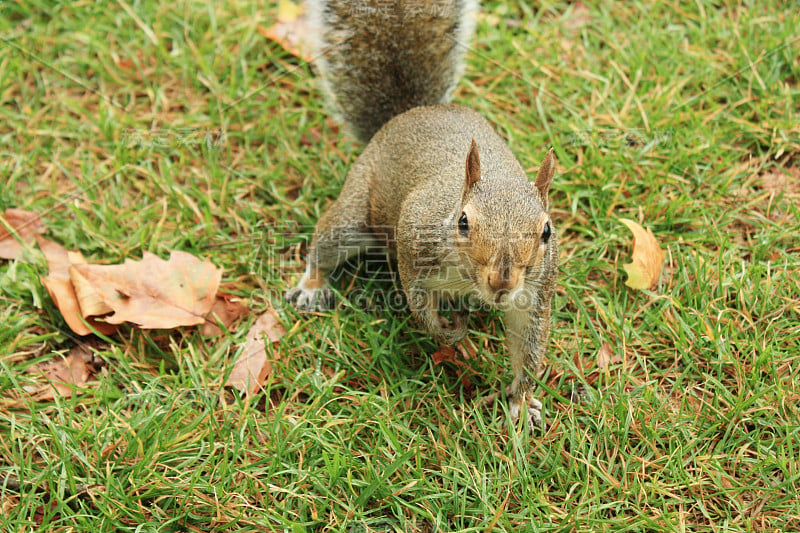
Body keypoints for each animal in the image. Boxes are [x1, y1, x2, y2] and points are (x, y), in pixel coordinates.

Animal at [286, 0, 556, 430]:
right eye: (463, 221)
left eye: (546, 231)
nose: (502, 283)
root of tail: (410, 113)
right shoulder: (415, 252)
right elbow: (420, 310)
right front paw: (451, 334)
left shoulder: (533, 292)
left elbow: (527, 347)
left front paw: (522, 400)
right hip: (353, 215)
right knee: (326, 243)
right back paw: (312, 285)